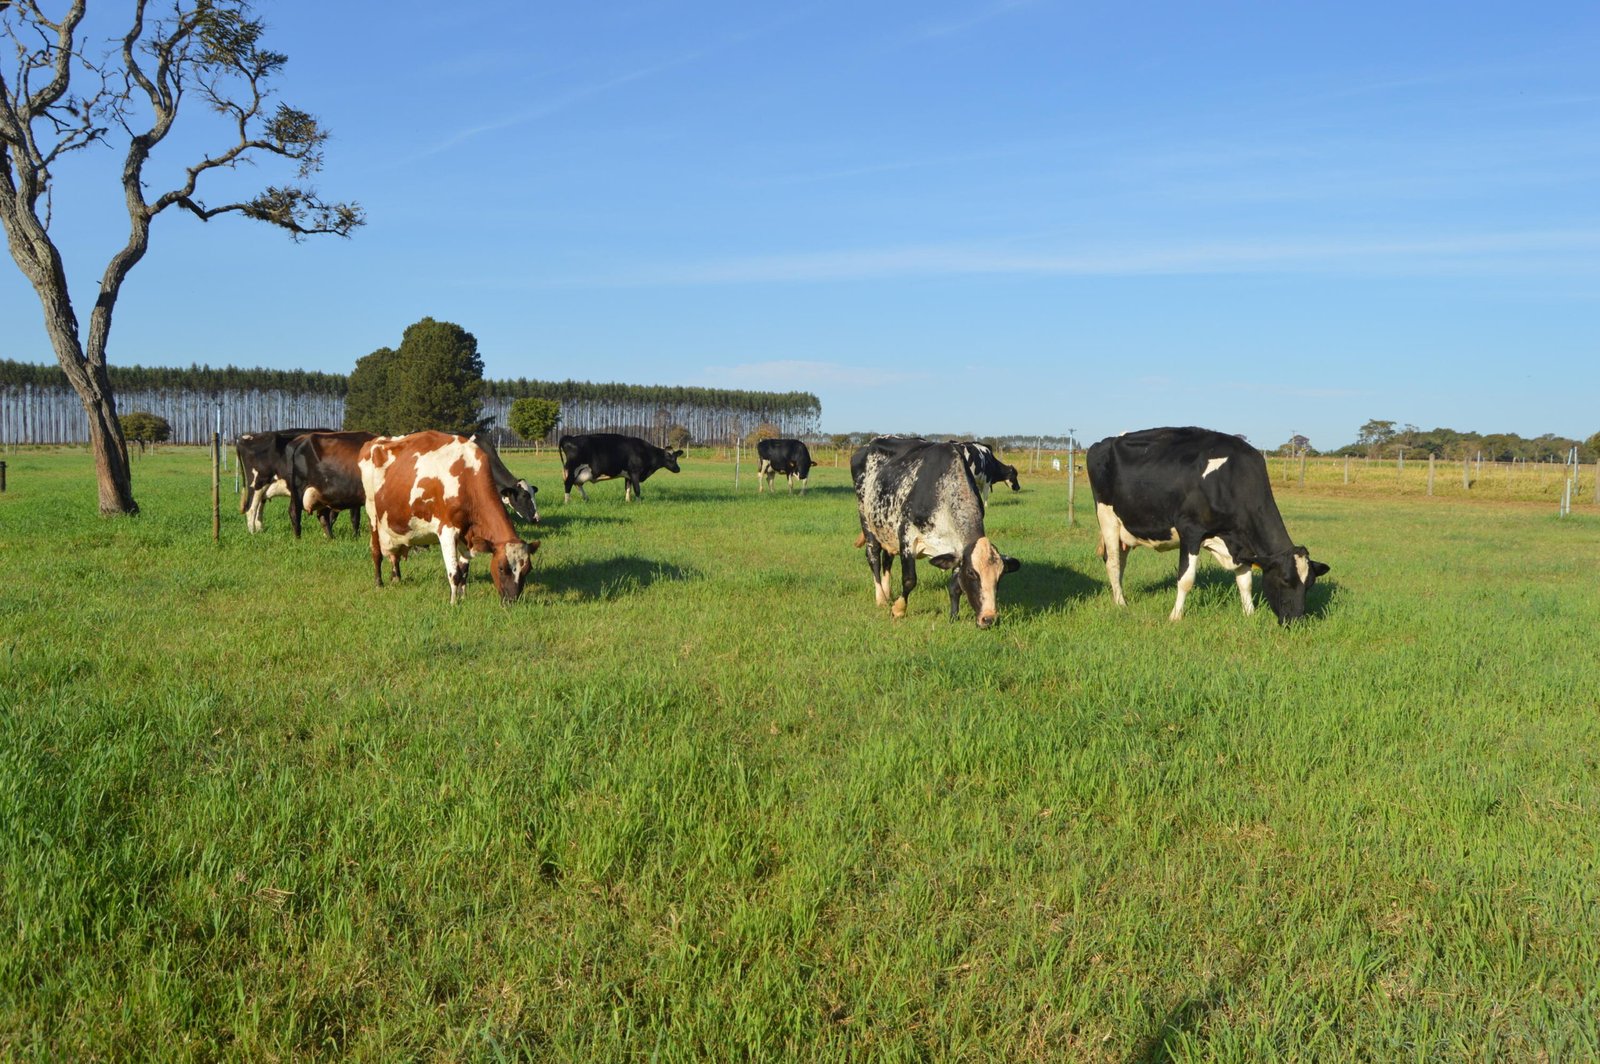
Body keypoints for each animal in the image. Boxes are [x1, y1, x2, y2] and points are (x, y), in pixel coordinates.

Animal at [360, 431, 537, 605]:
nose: (512, 600)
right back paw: (379, 583)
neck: (467, 476)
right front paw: (453, 603)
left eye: (528, 569)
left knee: (394, 554)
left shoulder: (467, 533)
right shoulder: (447, 531)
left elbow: (464, 571)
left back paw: (396, 577)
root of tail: (374, 441)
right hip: (372, 513)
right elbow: (454, 573)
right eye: (501, 568)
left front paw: (463, 596)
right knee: (376, 551)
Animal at [853, 436, 1021, 629]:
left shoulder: (957, 550)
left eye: (1000, 576)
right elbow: (909, 579)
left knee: (887, 558)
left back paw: (887, 593)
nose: (989, 618)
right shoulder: (906, 536)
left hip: (887, 528)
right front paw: (898, 609)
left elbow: (955, 586)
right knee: (873, 557)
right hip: (866, 519)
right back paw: (881, 597)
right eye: (972, 573)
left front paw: (953, 616)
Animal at [1085, 426, 1330, 625]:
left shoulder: (1241, 543)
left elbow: (1245, 581)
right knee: (1113, 562)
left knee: (1121, 562)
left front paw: (1249, 613)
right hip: (1107, 517)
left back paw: (1119, 596)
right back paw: (1121, 603)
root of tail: (1104, 441)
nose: (1296, 621)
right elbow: (1186, 579)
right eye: (1284, 580)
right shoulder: (1190, 531)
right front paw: (1175, 616)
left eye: (1309, 585)